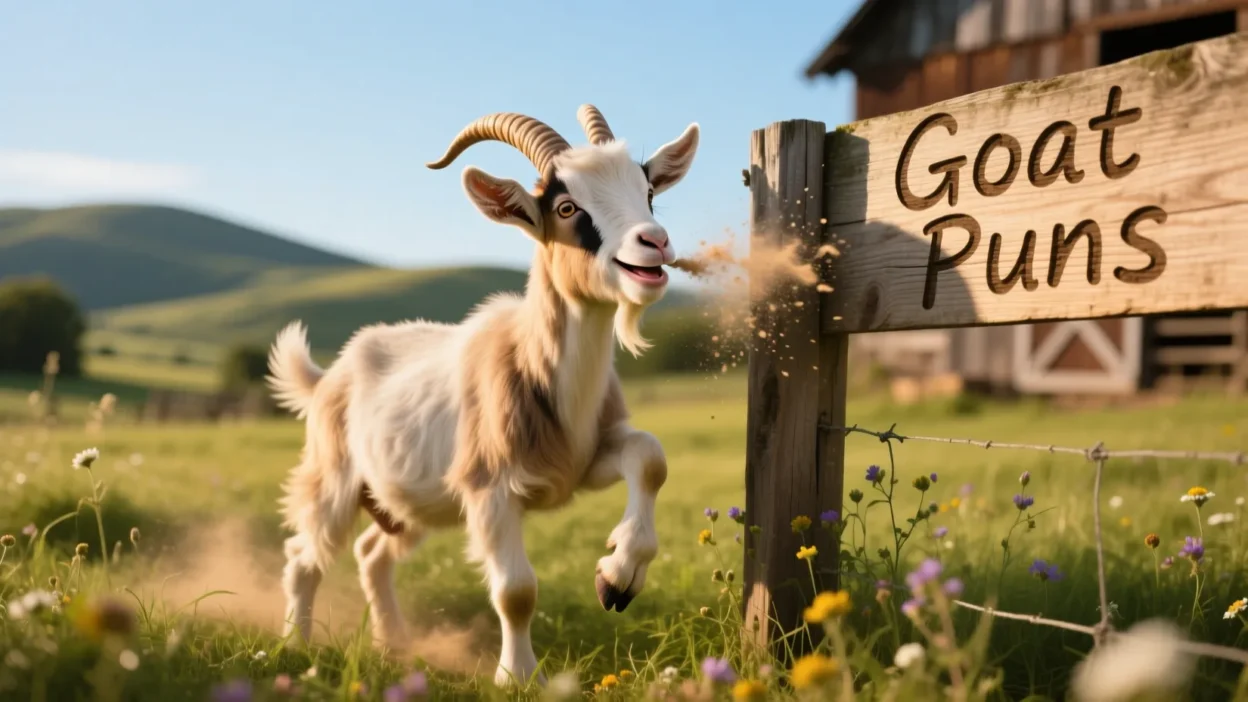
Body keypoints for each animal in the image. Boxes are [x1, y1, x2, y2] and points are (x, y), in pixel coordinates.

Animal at [266, 105, 699, 687]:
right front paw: (519, 679)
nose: (653, 242)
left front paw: (617, 576)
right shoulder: (489, 490)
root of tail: (327, 377)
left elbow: (650, 457)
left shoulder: (578, 465)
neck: (532, 361)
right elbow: (516, 591)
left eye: (648, 191)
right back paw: (295, 647)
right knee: (303, 556)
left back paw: (394, 645)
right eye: (566, 206)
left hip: (410, 503)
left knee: (372, 553)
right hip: (333, 480)